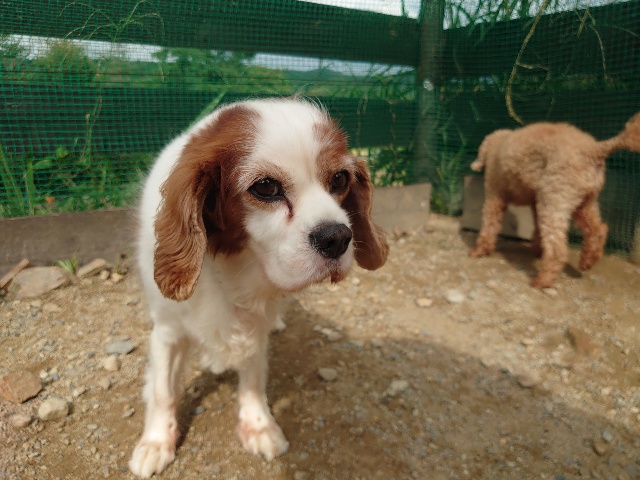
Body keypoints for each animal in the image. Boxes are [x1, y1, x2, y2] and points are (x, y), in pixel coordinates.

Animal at [129, 98, 389, 477]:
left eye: (340, 179)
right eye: (266, 187)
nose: (338, 237)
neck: (237, 271)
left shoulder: (255, 328)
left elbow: (252, 380)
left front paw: (258, 425)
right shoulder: (167, 331)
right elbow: (163, 391)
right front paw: (156, 443)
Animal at [469, 113, 640, 288]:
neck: (496, 144)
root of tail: (594, 150)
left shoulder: (494, 195)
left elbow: (489, 225)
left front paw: (479, 250)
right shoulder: (536, 200)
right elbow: (537, 228)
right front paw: (537, 249)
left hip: (555, 199)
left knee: (558, 249)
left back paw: (543, 279)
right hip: (583, 203)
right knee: (597, 230)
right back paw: (587, 261)